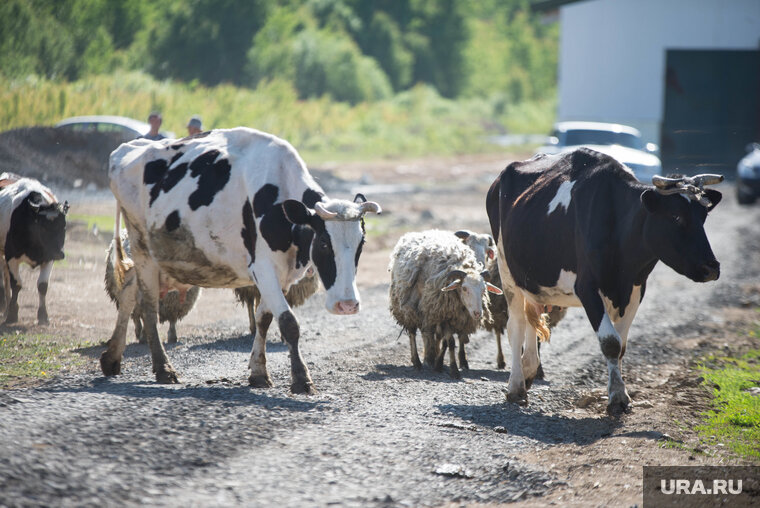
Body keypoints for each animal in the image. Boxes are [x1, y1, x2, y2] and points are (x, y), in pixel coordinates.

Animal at [101, 128, 382, 392]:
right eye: (323, 242)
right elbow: (289, 322)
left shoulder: (280, 274)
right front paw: (302, 379)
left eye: (361, 244)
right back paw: (163, 368)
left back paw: (111, 357)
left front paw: (258, 372)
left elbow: (264, 319)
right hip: (142, 248)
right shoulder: (263, 267)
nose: (347, 305)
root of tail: (127, 148)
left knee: (129, 290)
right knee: (148, 306)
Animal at [388, 230, 502, 378]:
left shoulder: (453, 315)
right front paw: (451, 369)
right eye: (464, 288)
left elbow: (450, 341)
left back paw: (431, 358)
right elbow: (450, 342)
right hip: (409, 306)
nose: (478, 313)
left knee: (428, 333)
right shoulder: (442, 313)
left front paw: (445, 363)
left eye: (484, 289)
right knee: (413, 333)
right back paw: (418, 362)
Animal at [486, 149, 724, 414]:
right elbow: (610, 342)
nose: (711, 267)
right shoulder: (587, 288)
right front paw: (618, 397)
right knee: (516, 325)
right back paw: (516, 386)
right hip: (507, 272)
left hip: (532, 281)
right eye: (676, 216)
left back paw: (528, 369)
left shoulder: (635, 289)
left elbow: (621, 346)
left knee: (532, 317)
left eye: (703, 217)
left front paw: (619, 391)